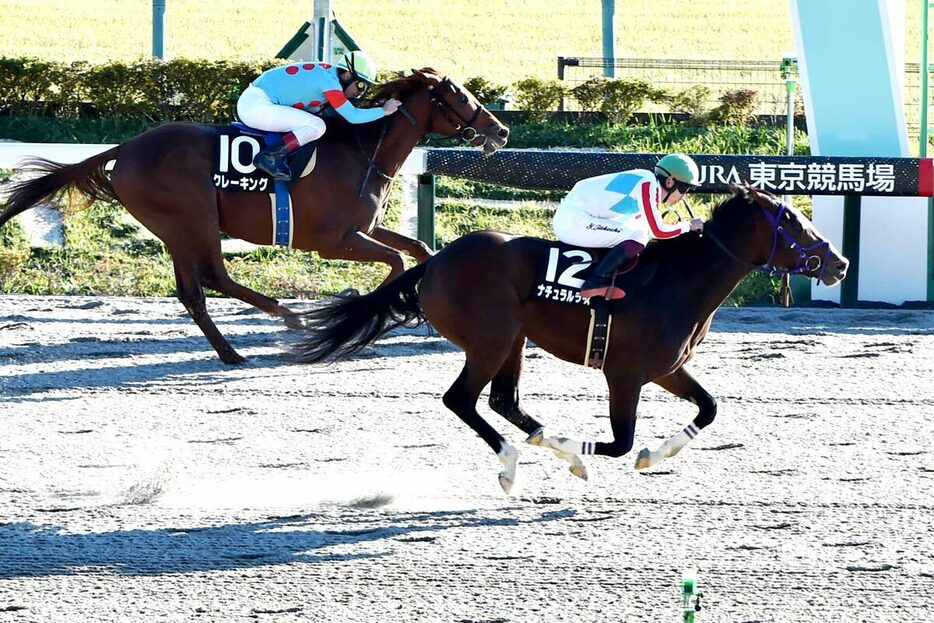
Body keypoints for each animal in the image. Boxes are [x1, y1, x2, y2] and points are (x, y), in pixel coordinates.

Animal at [0, 67, 508, 366]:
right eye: (462, 97)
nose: (501, 130)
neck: (362, 150)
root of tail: (124, 150)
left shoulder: (363, 228)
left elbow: (418, 249)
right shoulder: (334, 241)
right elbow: (398, 263)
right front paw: (357, 310)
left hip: (178, 229)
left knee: (198, 288)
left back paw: (258, 334)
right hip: (192, 220)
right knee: (208, 281)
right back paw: (264, 333)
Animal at [290, 185, 848, 492]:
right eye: (791, 221)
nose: (839, 263)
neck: (677, 281)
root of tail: (436, 260)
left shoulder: (666, 368)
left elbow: (708, 408)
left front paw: (652, 455)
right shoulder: (624, 374)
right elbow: (621, 444)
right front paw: (599, 455)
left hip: (513, 341)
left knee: (504, 400)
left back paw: (542, 446)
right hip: (491, 340)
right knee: (462, 399)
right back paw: (514, 463)